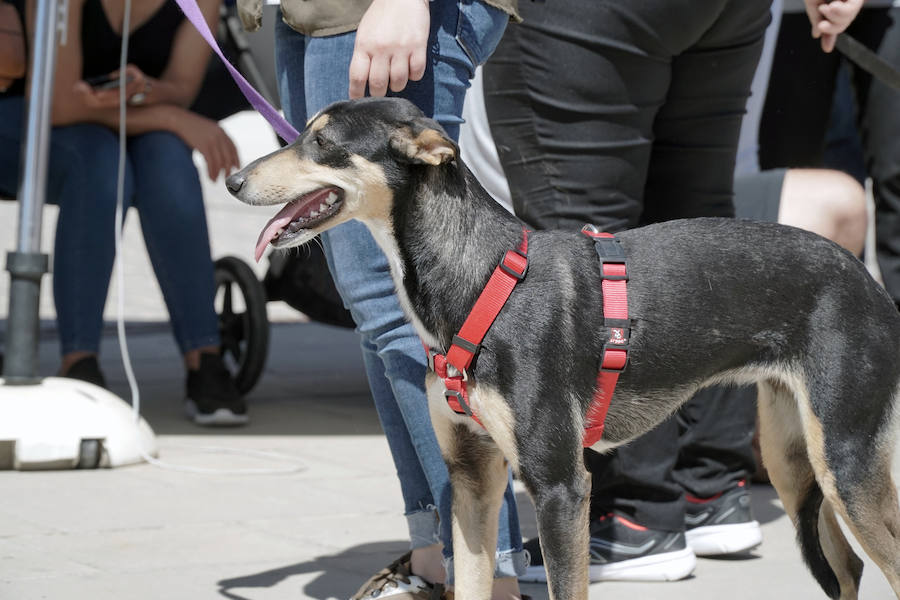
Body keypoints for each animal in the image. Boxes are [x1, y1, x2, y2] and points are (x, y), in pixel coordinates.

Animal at [227, 98, 900, 600]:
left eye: (321, 142)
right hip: (796, 462)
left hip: (846, 461)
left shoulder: (560, 486)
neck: (482, 280)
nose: (232, 180)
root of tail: (870, 282)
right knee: (847, 569)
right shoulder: (472, 478)